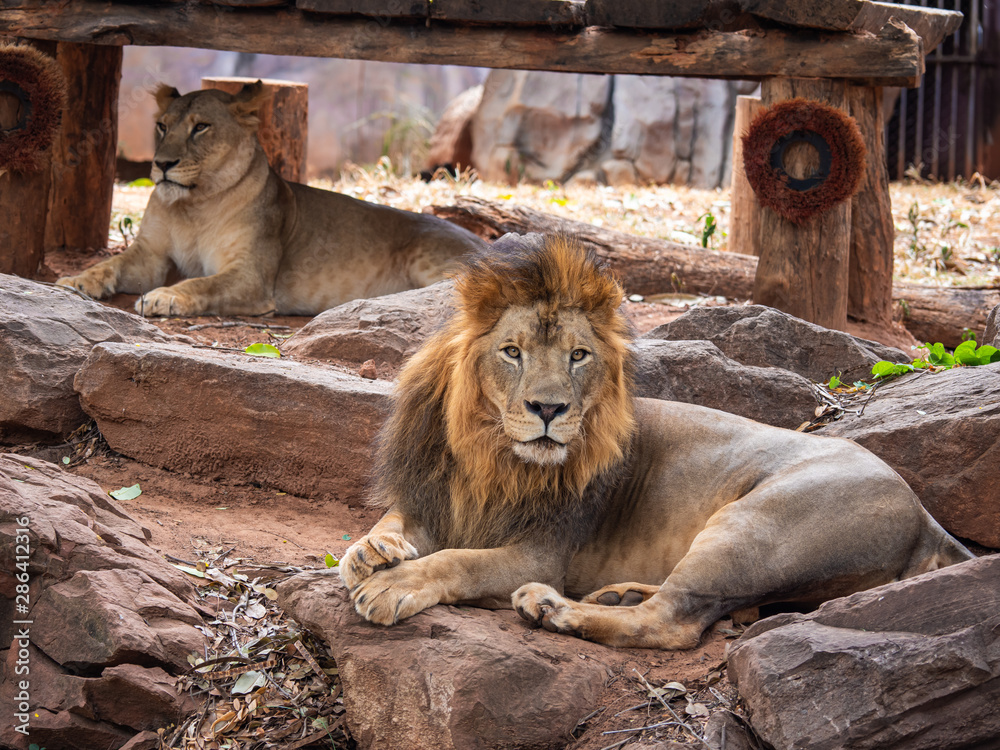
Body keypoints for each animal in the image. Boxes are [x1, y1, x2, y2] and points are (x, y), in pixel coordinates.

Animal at [56, 82, 486, 318]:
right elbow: (110, 264)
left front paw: (164, 297)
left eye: (201, 127)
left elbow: (202, 284)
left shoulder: (251, 276)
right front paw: (75, 281)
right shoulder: (151, 255)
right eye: (162, 126)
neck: (195, 204)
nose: (161, 165)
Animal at [340, 235, 972, 652]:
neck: (487, 453)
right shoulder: (435, 498)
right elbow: (393, 522)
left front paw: (394, 583)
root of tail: (925, 514)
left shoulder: (541, 551)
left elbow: (459, 561)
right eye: (512, 352)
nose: (548, 409)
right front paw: (372, 552)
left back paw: (556, 608)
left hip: (754, 525)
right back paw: (614, 595)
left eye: (578, 355)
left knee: (676, 621)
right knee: (705, 605)